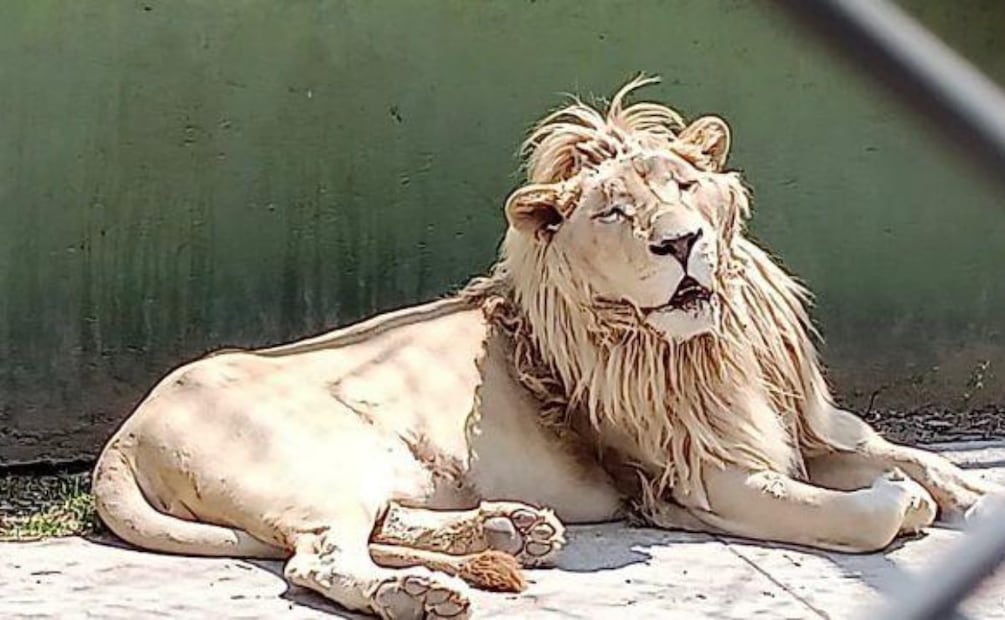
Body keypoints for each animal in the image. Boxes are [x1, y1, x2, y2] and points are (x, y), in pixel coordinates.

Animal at [92, 76, 1001, 619]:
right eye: (612, 212)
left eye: (683, 185)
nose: (681, 243)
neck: (712, 341)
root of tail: (124, 435)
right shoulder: (700, 481)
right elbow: (863, 515)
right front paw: (902, 507)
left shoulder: (805, 425)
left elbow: (914, 459)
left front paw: (966, 496)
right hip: (317, 460)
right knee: (319, 558)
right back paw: (420, 591)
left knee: (376, 523)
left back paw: (510, 532)